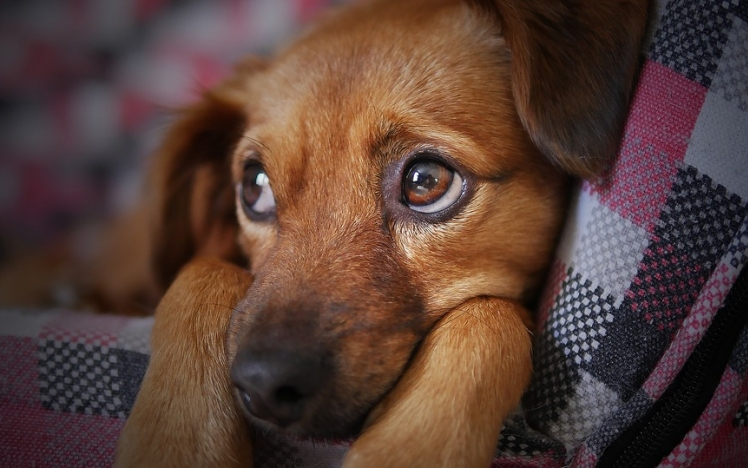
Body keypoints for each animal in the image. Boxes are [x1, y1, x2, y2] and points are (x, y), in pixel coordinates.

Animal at [111, 0, 648, 466]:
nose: (263, 385)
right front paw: (175, 441)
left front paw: (408, 447)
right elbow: (201, 270)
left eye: (426, 181)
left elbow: (489, 315)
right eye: (254, 186)